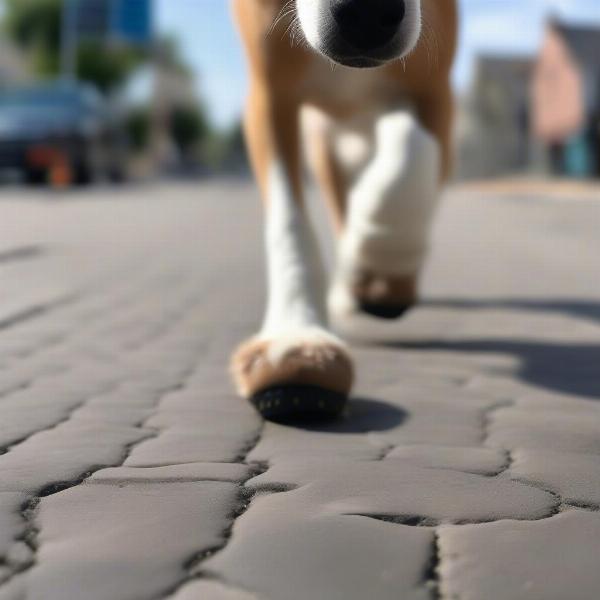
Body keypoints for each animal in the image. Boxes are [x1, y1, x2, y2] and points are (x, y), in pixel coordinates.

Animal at [232, 0, 458, 420]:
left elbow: (414, 143)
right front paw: (296, 338)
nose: (367, 12)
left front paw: (384, 258)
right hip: (323, 141)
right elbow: (289, 220)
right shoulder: (271, 91)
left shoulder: (433, 87)